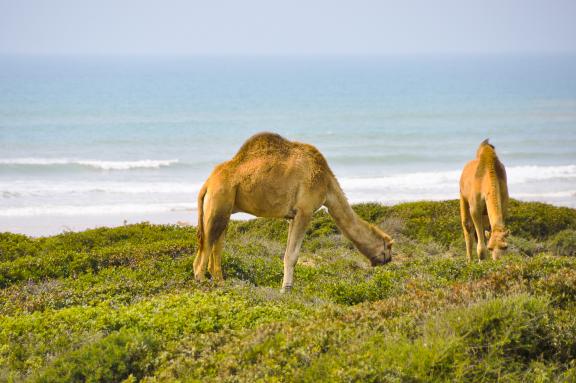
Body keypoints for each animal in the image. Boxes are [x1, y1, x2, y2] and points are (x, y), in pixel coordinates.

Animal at [195, 134, 396, 292]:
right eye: (388, 247)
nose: (388, 260)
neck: (326, 183)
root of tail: (207, 184)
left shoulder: (292, 216)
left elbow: (287, 253)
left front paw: (285, 287)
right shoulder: (305, 210)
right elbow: (293, 255)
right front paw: (287, 290)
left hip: (225, 208)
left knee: (216, 245)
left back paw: (222, 284)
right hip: (219, 199)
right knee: (207, 245)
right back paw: (202, 282)